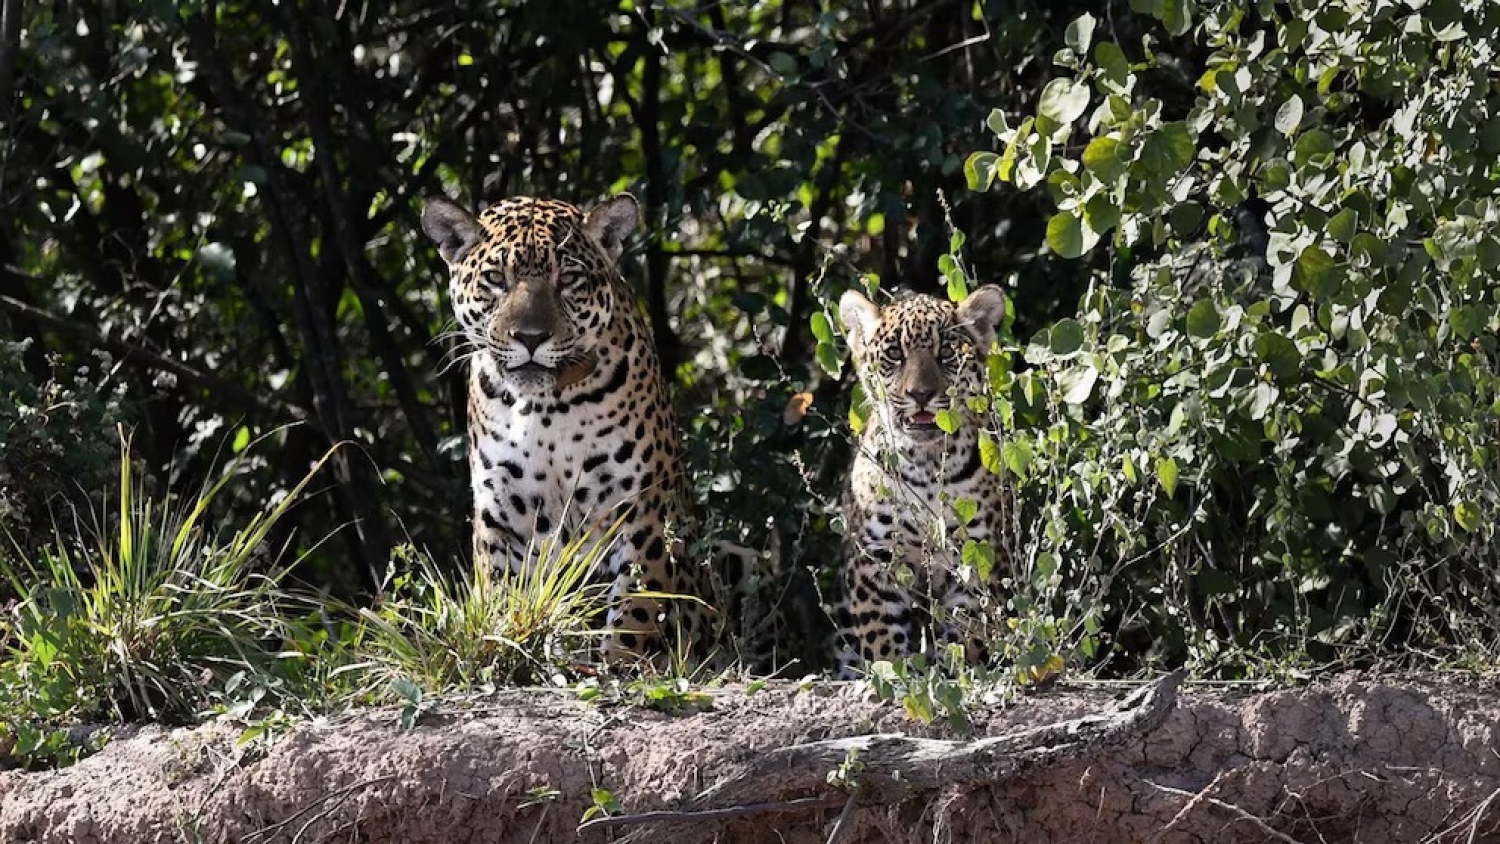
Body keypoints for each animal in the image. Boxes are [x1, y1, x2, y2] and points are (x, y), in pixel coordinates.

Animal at [420, 192, 709, 664]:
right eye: (496, 279)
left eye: (568, 278)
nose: (530, 337)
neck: (547, 410)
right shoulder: (500, 514)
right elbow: (502, 595)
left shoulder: (642, 509)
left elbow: (636, 609)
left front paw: (617, 663)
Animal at [832, 285, 1013, 678]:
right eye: (894, 355)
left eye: (945, 353)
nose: (920, 394)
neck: (927, 465)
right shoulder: (877, 557)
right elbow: (882, 636)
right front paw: (895, 677)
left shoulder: (976, 554)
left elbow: (967, 633)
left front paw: (953, 676)